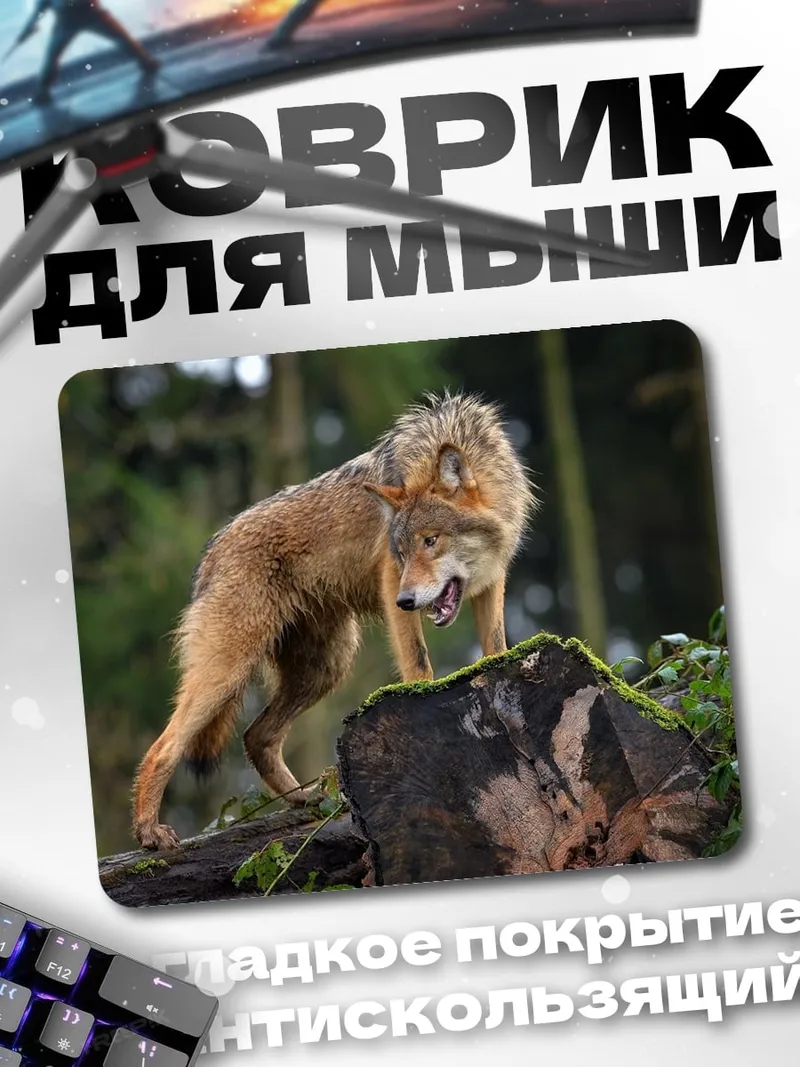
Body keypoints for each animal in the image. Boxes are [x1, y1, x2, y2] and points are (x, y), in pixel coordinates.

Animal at [132, 392, 538, 850]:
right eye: (401, 552)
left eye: (431, 541)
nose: (405, 601)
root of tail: (211, 551)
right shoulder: (389, 579)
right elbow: (419, 664)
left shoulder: (492, 582)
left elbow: (496, 647)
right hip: (230, 672)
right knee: (164, 747)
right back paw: (149, 832)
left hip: (326, 667)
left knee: (257, 737)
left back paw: (308, 800)